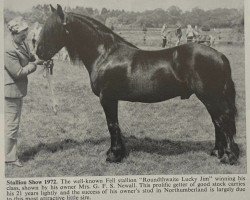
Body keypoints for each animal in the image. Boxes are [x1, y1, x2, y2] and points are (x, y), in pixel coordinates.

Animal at [36, 4, 239, 164]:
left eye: (51, 28)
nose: (38, 53)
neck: (105, 54)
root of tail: (220, 56)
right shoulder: (112, 99)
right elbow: (116, 125)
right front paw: (118, 152)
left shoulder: (107, 98)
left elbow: (112, 125)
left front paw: (113, 155)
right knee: (217, 122)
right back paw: (216, 152)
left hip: (210, 96)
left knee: (223, 120)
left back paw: (228, 156)